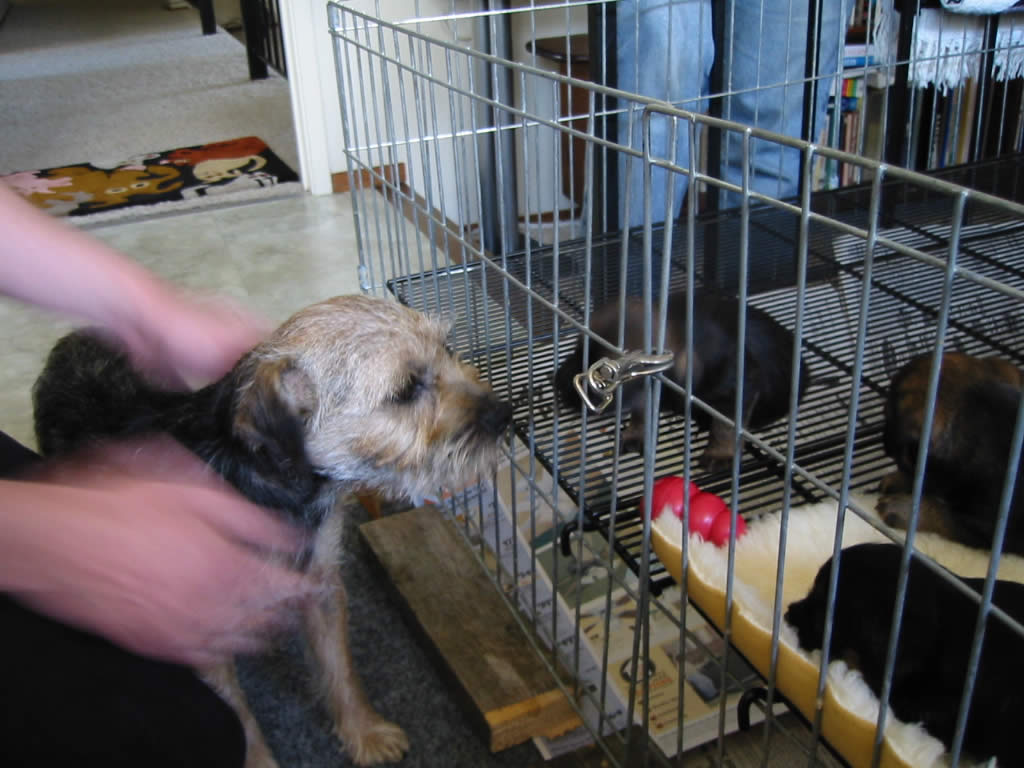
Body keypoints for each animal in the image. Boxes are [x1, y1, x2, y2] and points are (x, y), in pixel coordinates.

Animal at [30, 296, 512, 768]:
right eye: (407, 390)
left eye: (447, 347)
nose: (504, 413)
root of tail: (79, 335)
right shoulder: (202, 628)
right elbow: (238, 716)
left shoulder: (320, 585)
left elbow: (340, 670)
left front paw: (364, 732)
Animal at [552, 290, 806, 473]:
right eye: (577, 350)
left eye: (604, 373)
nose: (557, 383)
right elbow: (643, 411)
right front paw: (636, 433)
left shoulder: (737, 386)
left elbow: (726, 425)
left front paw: (720, 454)